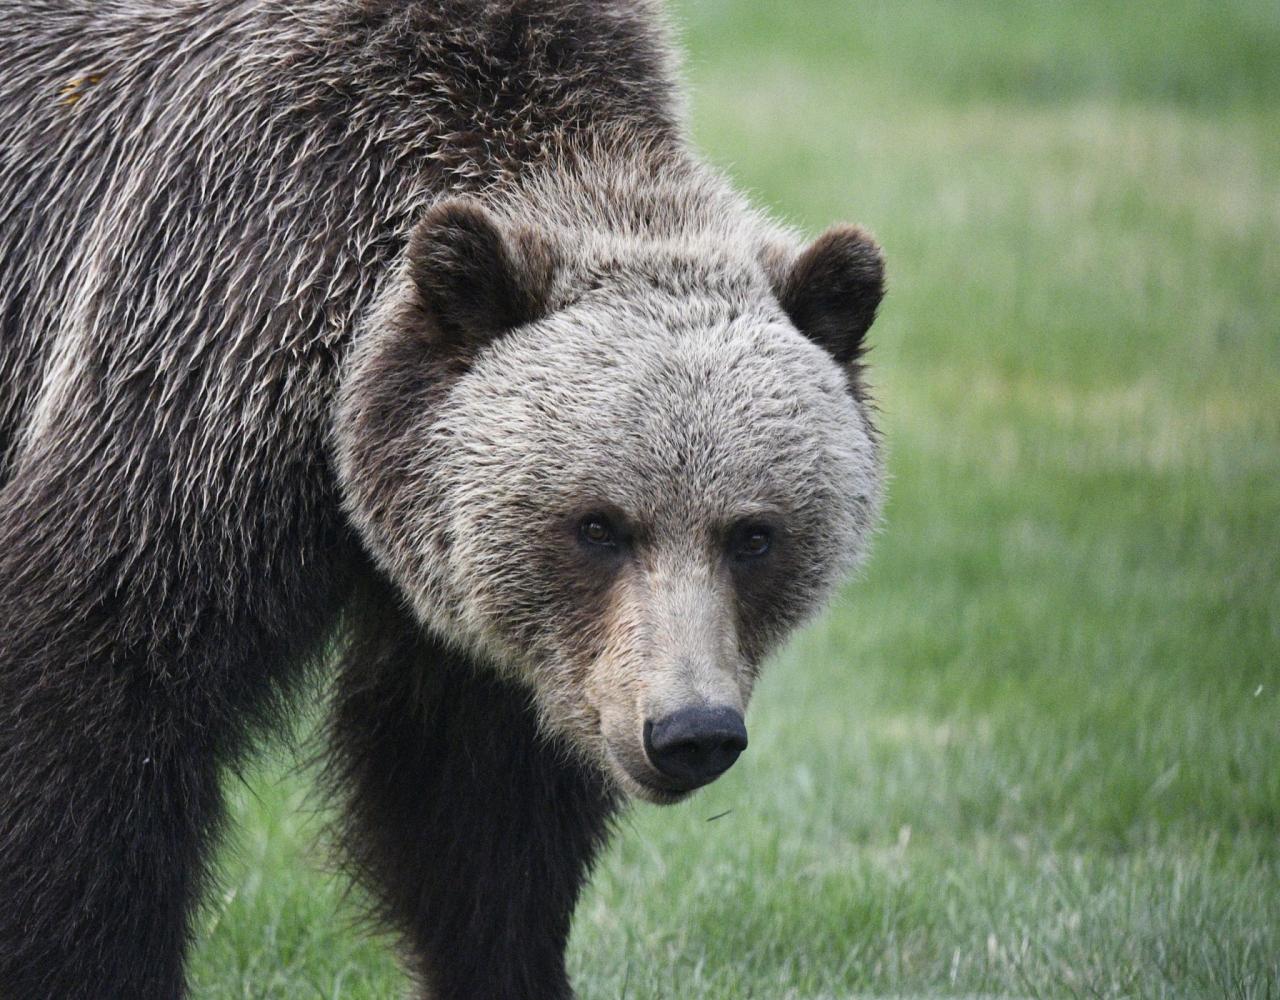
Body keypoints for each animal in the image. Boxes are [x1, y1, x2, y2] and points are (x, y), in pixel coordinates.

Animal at [0, 1, 880, 998]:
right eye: (598, 526)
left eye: (754, 535)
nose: (690, 730)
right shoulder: (206, 356)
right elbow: (95, 705)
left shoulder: (493, 633)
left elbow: (468, 810)